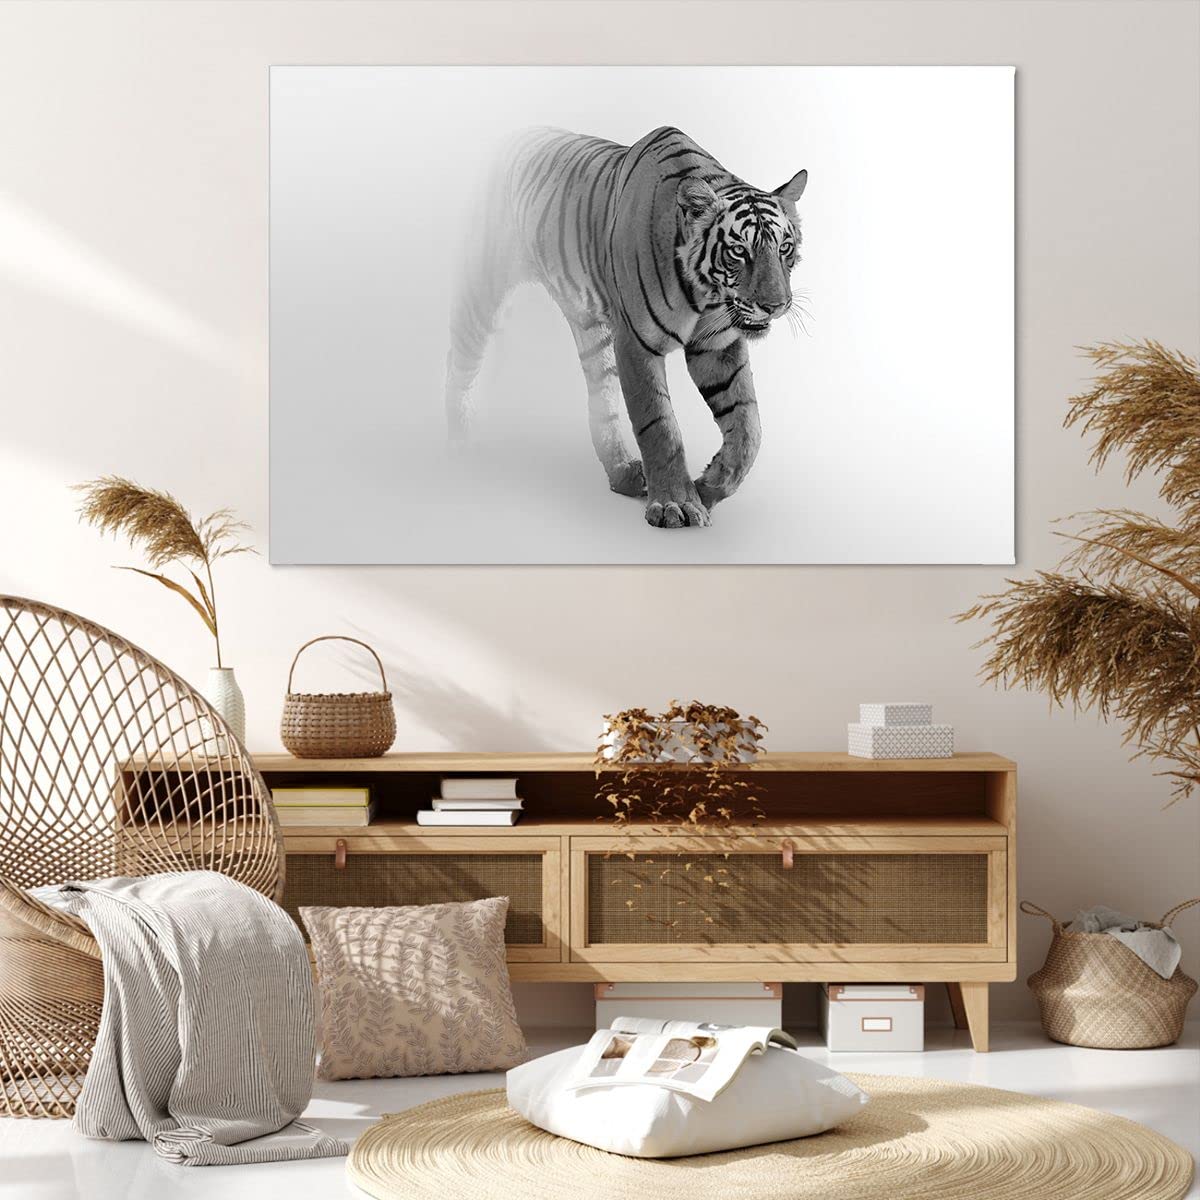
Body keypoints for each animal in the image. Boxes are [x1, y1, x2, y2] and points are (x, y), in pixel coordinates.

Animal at [443, 125, 808, 529]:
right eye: (739, 251)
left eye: (785, 248)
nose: (775, 306)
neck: (705, 294)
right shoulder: (636, 342)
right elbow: (659, 425)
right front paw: (676, 504)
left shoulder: (716, 345)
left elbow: (748, 426)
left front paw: (709, 487)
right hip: (483, 284)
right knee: (459, 357)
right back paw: (457, 439)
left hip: (592, 331)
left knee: (601, 401)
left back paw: (622, 473)